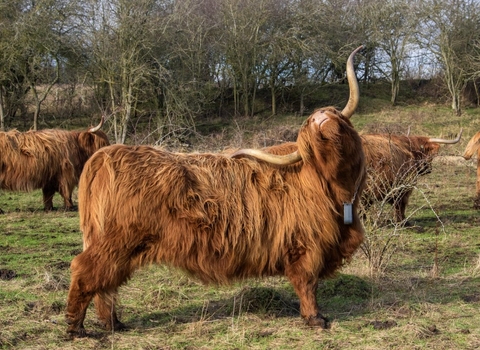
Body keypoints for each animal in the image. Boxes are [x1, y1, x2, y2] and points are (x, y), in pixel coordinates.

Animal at [63, 45, 364, 336]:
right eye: (310, 134)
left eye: (332, 112)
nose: (320, 117)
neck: (337, 191)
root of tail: (105, 155)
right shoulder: (307, 244)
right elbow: (308, 283)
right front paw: (316, 319)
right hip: (118, 240)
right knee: (85, 271)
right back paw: (76, 327)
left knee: (106, 282)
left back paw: (113, 324)